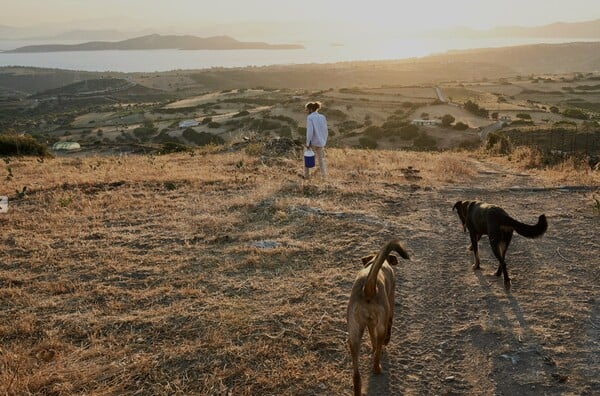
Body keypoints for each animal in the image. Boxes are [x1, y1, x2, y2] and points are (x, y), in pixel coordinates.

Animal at [344, 238, 410, 396]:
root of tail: (368, 287)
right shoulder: (390, 304)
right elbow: (389, 326)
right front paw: (385, 343)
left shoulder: (369, 324)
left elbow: (372, 338)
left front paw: (373, 348)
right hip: (381, 324)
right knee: (379, 349)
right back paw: (377, 368)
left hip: (354, 335)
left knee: (356, 375)